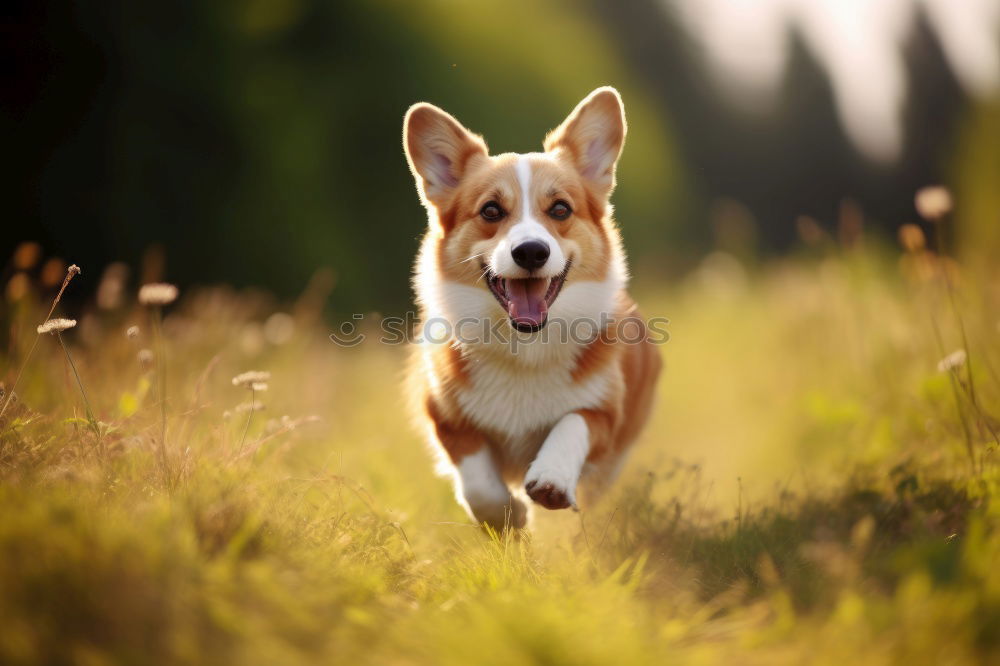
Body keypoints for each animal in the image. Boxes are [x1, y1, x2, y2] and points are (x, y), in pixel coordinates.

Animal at [402, 85, 660, 528]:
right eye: (491, 210)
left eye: (560, 209)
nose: (531, 252)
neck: (523, 348)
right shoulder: (444, 415)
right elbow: (478, 483)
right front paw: (507, 515)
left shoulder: (604, 416)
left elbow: (572, 422)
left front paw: (551, 480)